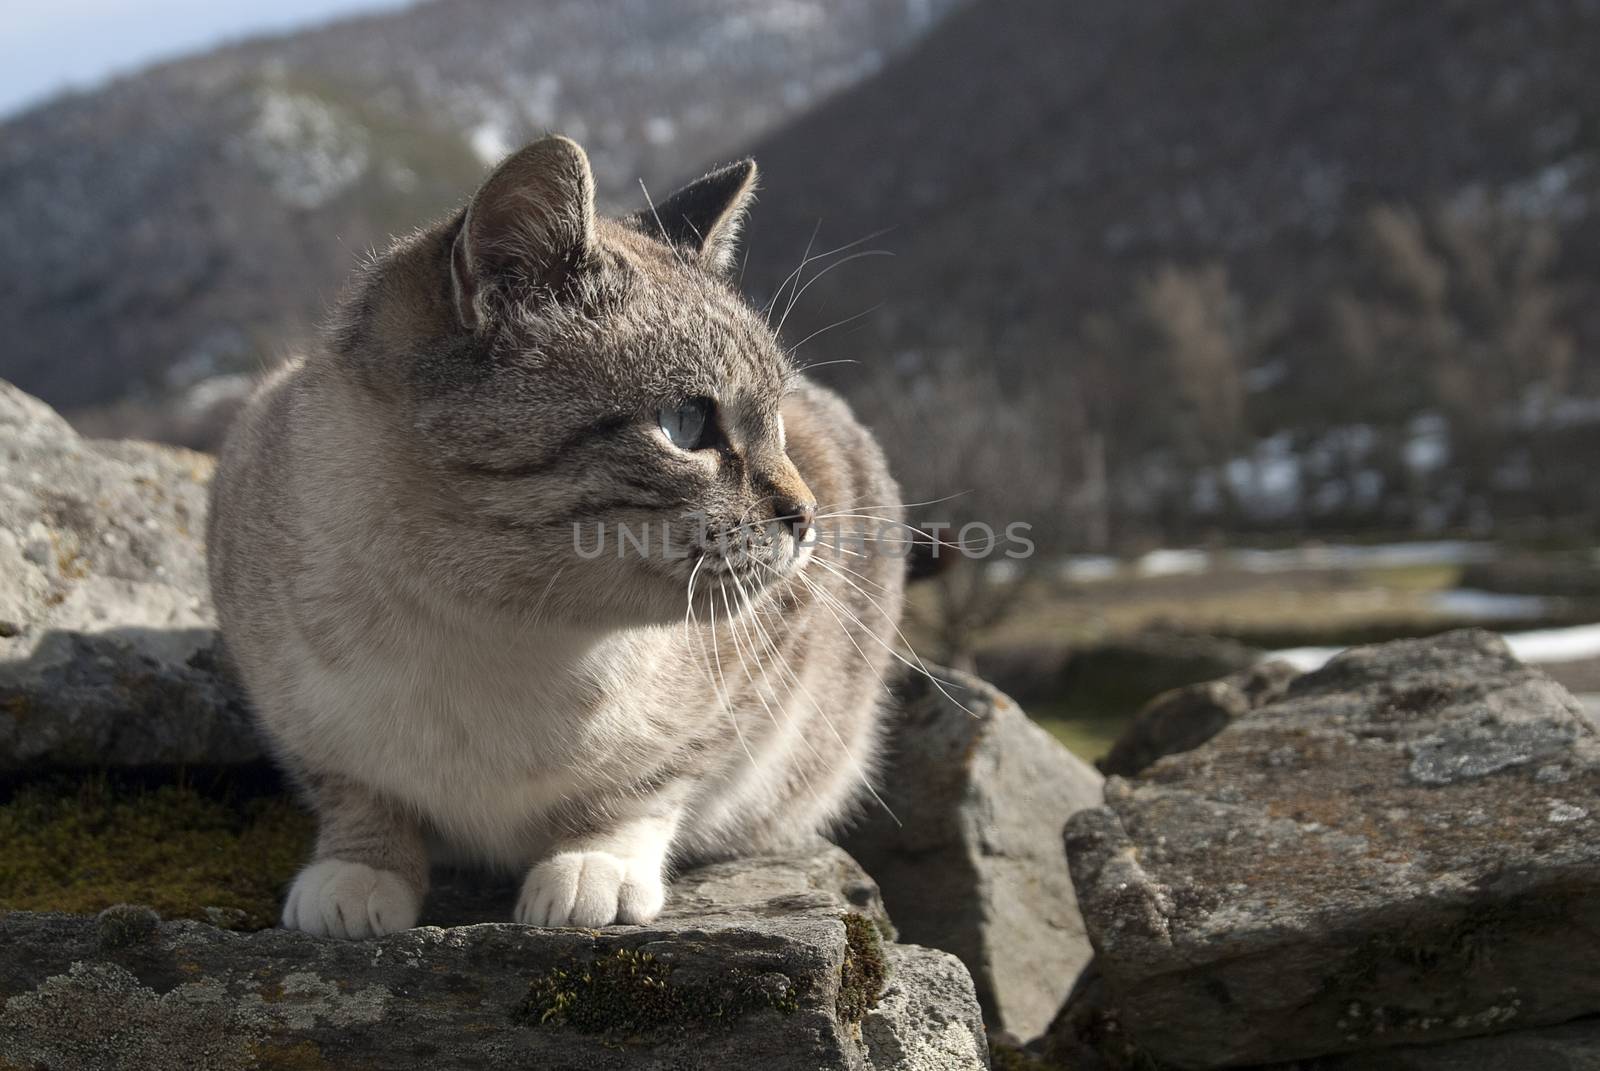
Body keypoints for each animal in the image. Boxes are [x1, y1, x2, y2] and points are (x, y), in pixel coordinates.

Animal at [206, 136, 908, 934]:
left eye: (779, 424)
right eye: (686, 425)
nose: (808, 516)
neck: (485, 626)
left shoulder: (753, 676)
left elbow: (643, 785)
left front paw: (588, 873)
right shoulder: (291, 708)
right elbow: (358, 796)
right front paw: (356, 879)